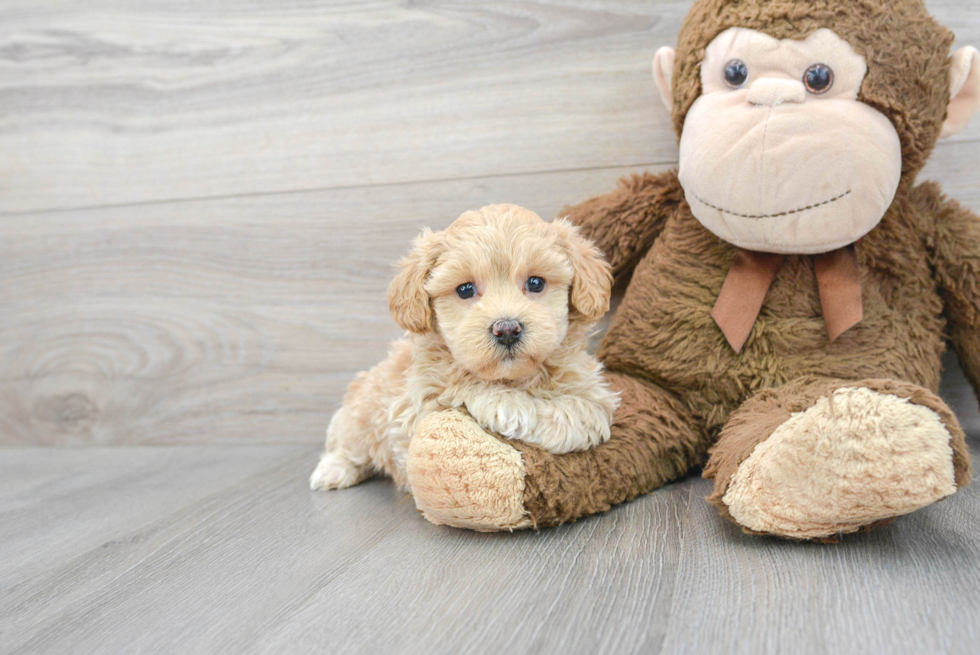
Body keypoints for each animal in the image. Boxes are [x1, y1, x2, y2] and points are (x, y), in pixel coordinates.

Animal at [310, 205, 620, 492]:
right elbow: (458, 388)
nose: (507, 329)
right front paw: (508, 403)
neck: (513, 378)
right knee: (348, 443)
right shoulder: (412, 411)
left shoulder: (594, 396)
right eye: (465, 290)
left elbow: (581, 413)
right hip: (360, 414)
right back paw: (333, 469)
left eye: (535, 283)